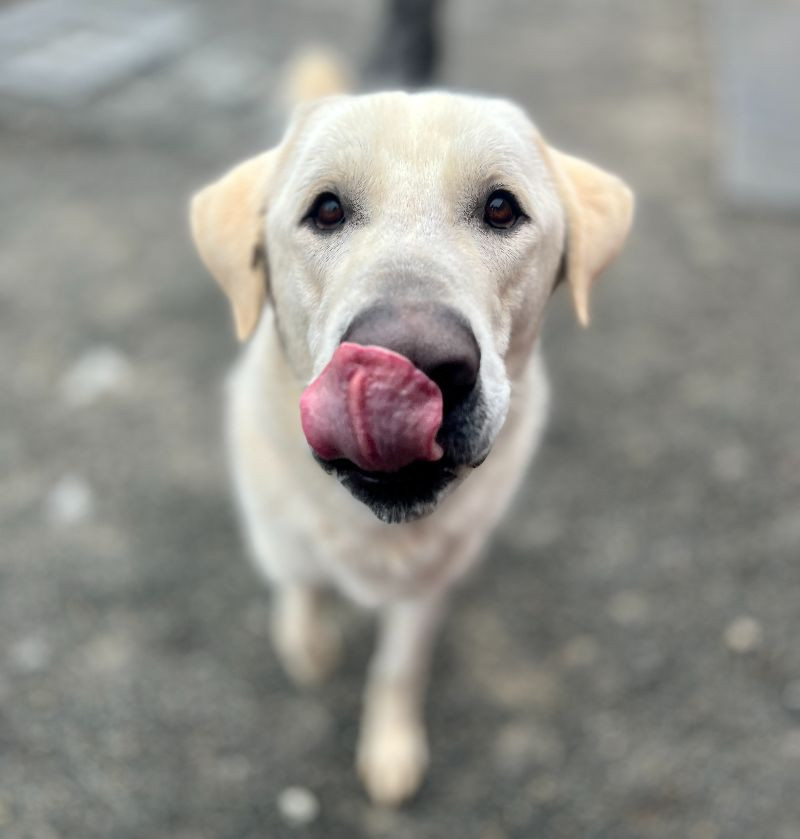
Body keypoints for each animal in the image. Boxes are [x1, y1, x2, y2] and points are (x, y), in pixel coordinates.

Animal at [191, 55, 636, 804]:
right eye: (327, 209)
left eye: (501, 208)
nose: (415, 364)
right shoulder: (279, 531)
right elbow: (301, 584)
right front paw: (307, 640)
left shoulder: (428, 588)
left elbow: (398, 666)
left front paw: (391, 745)